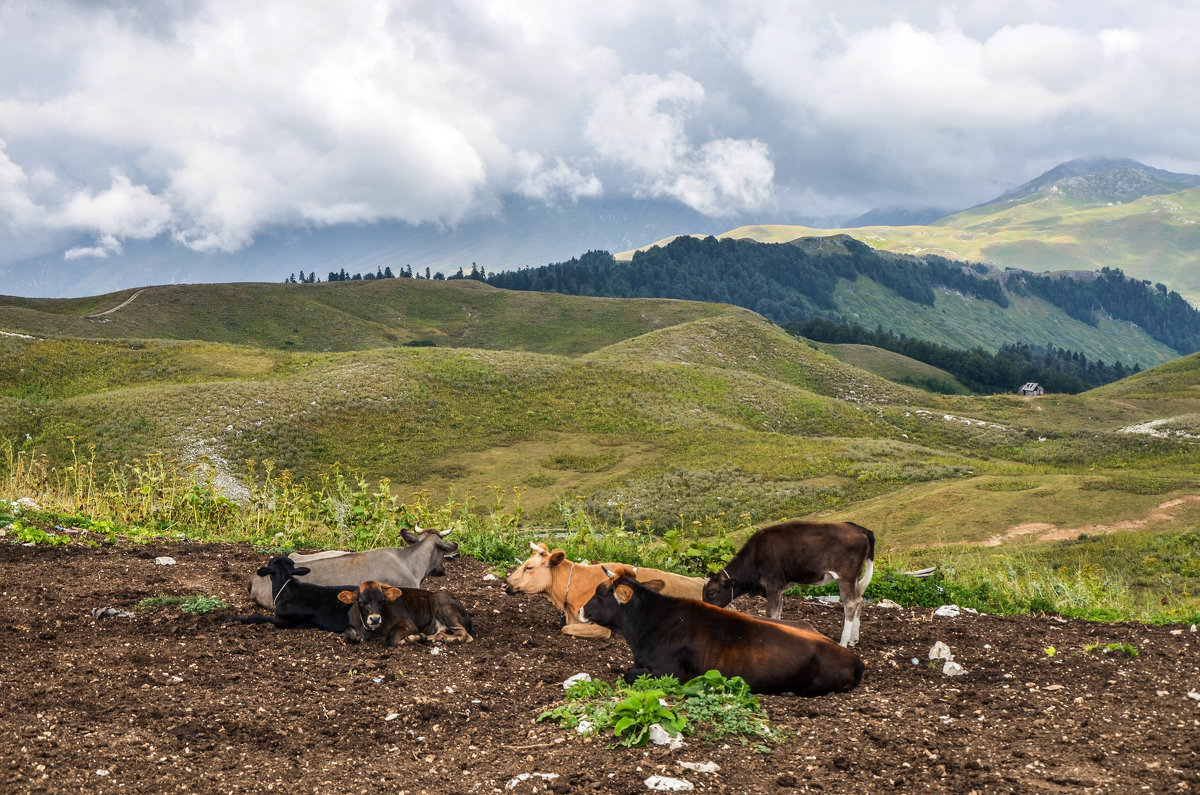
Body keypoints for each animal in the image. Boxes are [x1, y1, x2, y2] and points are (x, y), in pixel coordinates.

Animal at [338, 583, 472, 653]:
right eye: (362, 602)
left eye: (382, 600)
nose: (375, 619)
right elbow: (348, 634)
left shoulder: (409, 625)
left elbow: (392, 638)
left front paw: (408, 639)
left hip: (446, 611)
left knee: (464, 635)